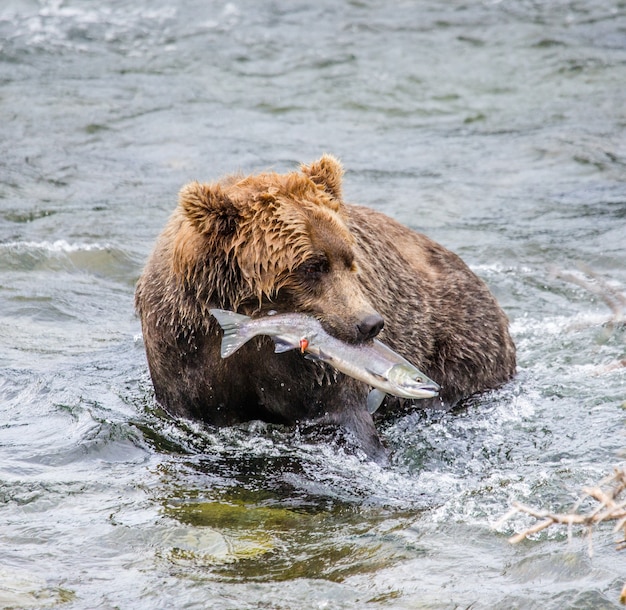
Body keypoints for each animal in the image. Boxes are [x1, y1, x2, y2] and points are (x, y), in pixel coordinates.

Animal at [134, 154, 516, 458]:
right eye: (313, 265)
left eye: (350, 259)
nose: (370, 323)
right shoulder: (186, 350)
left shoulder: (315, 372)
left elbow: (343, 417)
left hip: (462, 345)